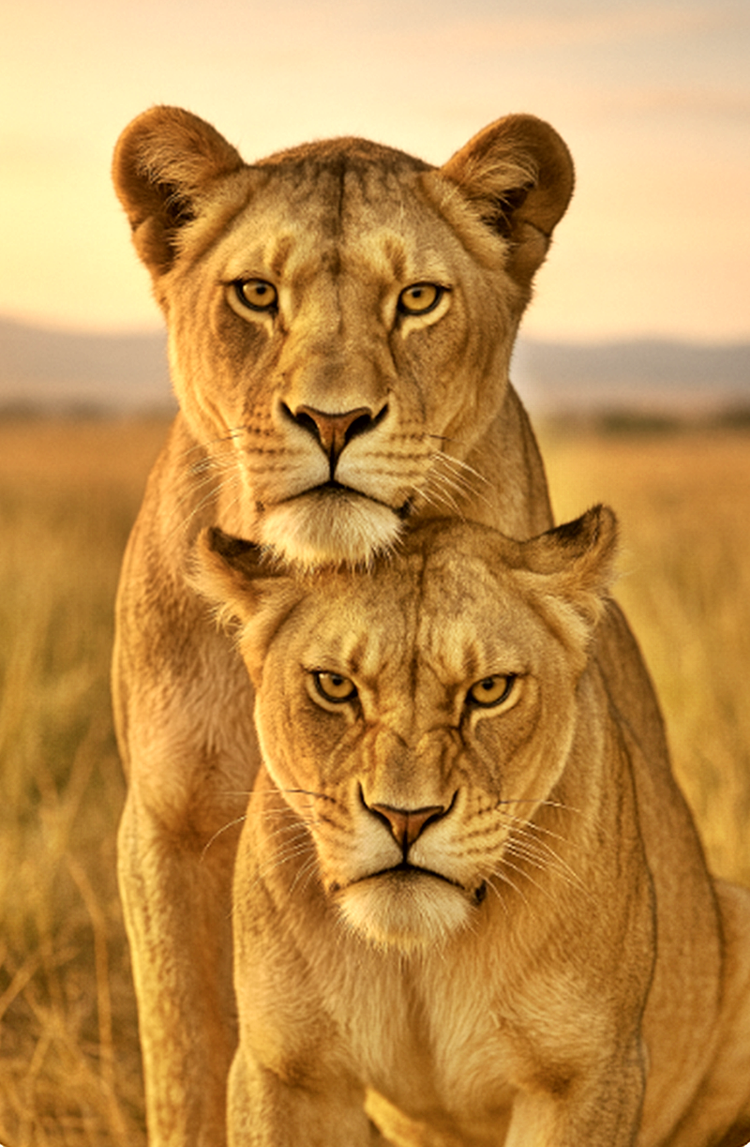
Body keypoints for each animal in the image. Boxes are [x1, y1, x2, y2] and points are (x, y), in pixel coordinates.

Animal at [193, 508, 750, 1147]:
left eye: (490, 689)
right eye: (334, 685)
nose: (406, 817)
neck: (419, 959)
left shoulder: (583, 1072)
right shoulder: (286, 1070)